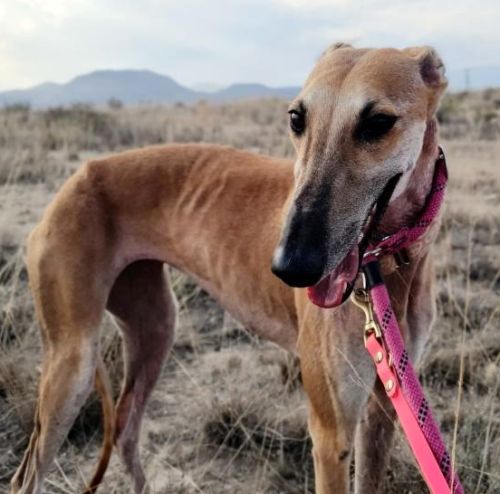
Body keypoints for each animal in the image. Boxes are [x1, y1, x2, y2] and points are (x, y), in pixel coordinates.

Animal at [11, 43, 447, 494]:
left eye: (378, 122)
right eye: (296, 118)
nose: (290, 266)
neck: (389, 269)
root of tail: (74, 181)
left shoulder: (385, 406)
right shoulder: (331, 434)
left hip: (154, 327)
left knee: (125, 426)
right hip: (73, 362)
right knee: (27, 475)